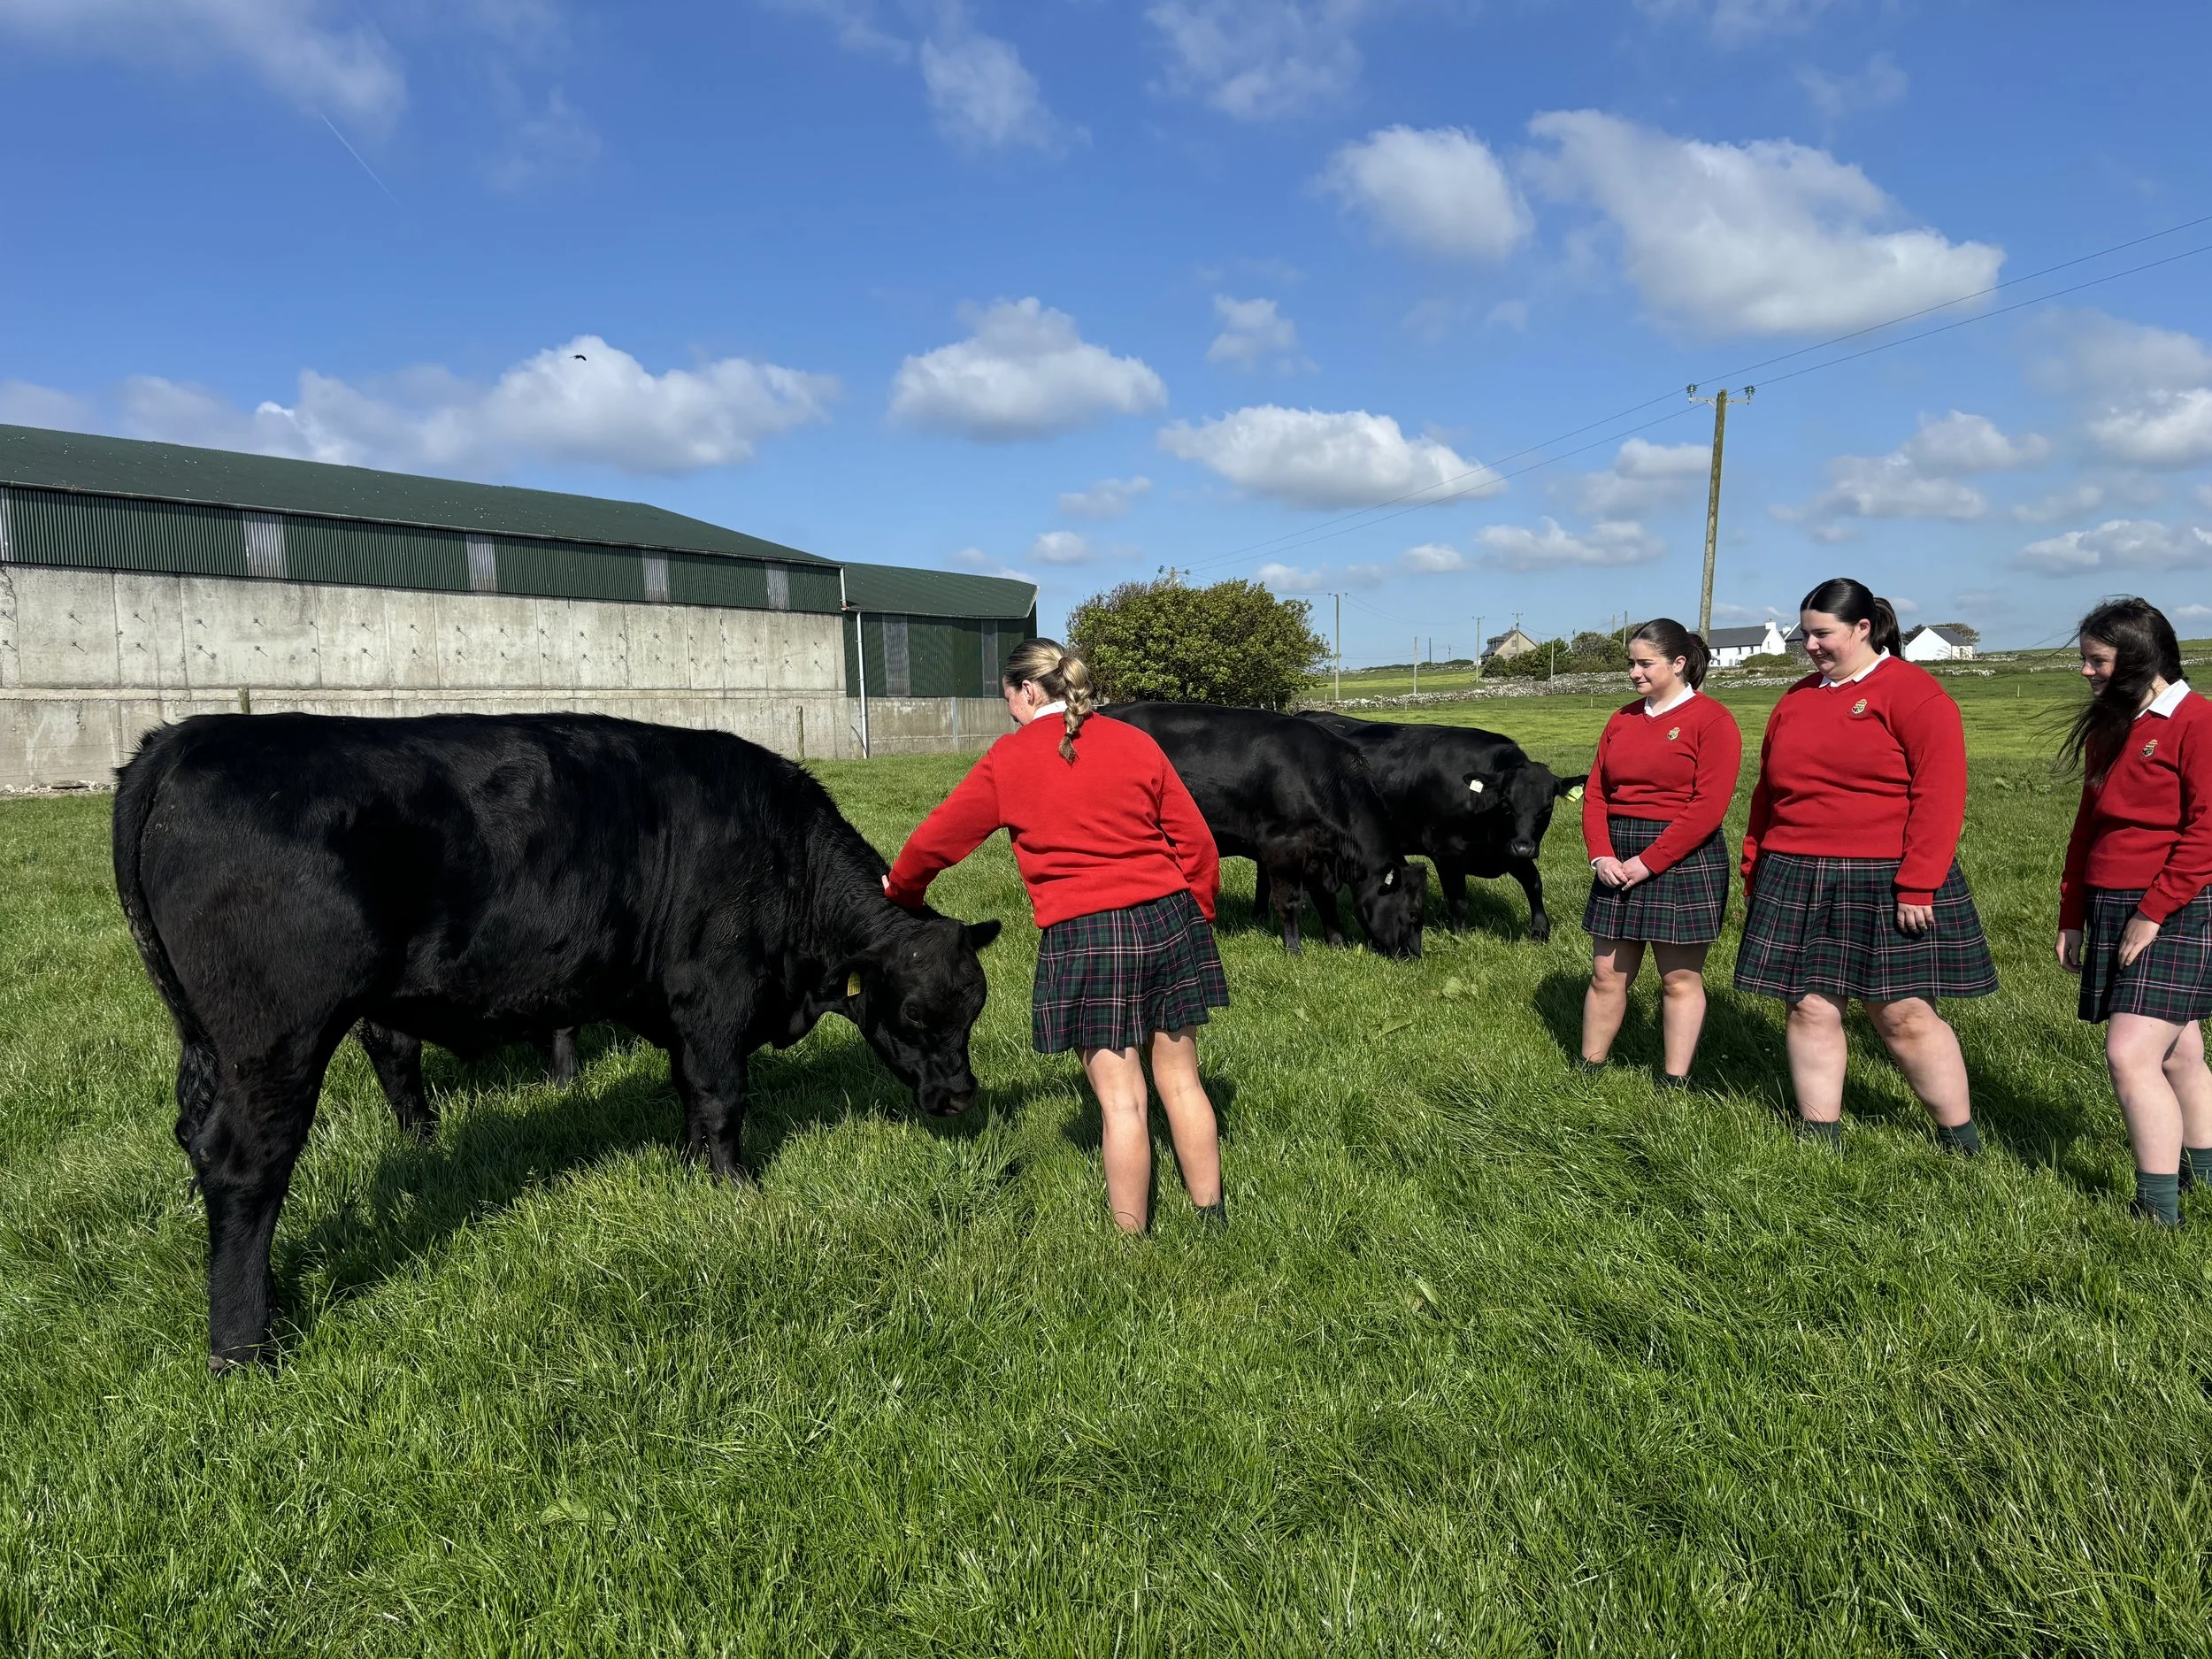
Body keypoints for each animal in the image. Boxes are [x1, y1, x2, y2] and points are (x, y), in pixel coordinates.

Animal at [112, 712, 1001, 1371]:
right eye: (914, 1014)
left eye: (974, 1011)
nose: (960, 1097)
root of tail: (186, 738)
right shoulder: (714, 992)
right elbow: (722, 1097)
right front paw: (735, 1189)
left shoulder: (679, 1013)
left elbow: (690, 1092)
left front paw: (689, 1174)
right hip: (273, 1041)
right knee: (247, 1168)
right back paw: (244, 1344)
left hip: (211, 1042)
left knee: (202, 1136)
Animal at [1098, 702, 1426, 957]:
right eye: (1412, 914)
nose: (1414, 956)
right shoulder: (1282, 845)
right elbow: (1290, 901)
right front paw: (1294, 950)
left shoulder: (1318, 856)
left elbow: (1325, 901)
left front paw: (1338, 943)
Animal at [1298, 710, 1586, 942]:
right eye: (1507, 804)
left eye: (1547, 807)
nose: (1524, 848)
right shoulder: (1447, 854)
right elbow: (1458, 901)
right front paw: (1461, 938)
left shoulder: (1509, 850)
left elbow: (1534, 883)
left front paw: (1540, 931)